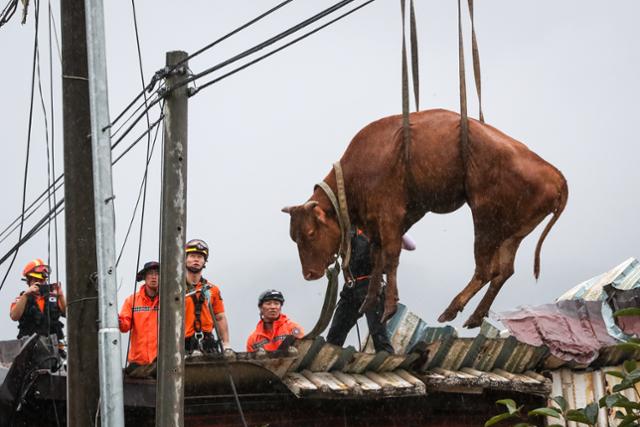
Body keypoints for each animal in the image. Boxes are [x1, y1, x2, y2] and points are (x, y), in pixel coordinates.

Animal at [282, 109, 568, 328]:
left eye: (310, 233)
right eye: (293, 237)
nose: (309, 274)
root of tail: (555, 174)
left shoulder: (390, 214)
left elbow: (391, 259)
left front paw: (388, 307)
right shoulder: (387, 223)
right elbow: (378, 260)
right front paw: (369, 303)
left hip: (485, 218)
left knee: (487, 269)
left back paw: (452, 309)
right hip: (514, 231)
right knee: (504, 271)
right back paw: (475, 316)